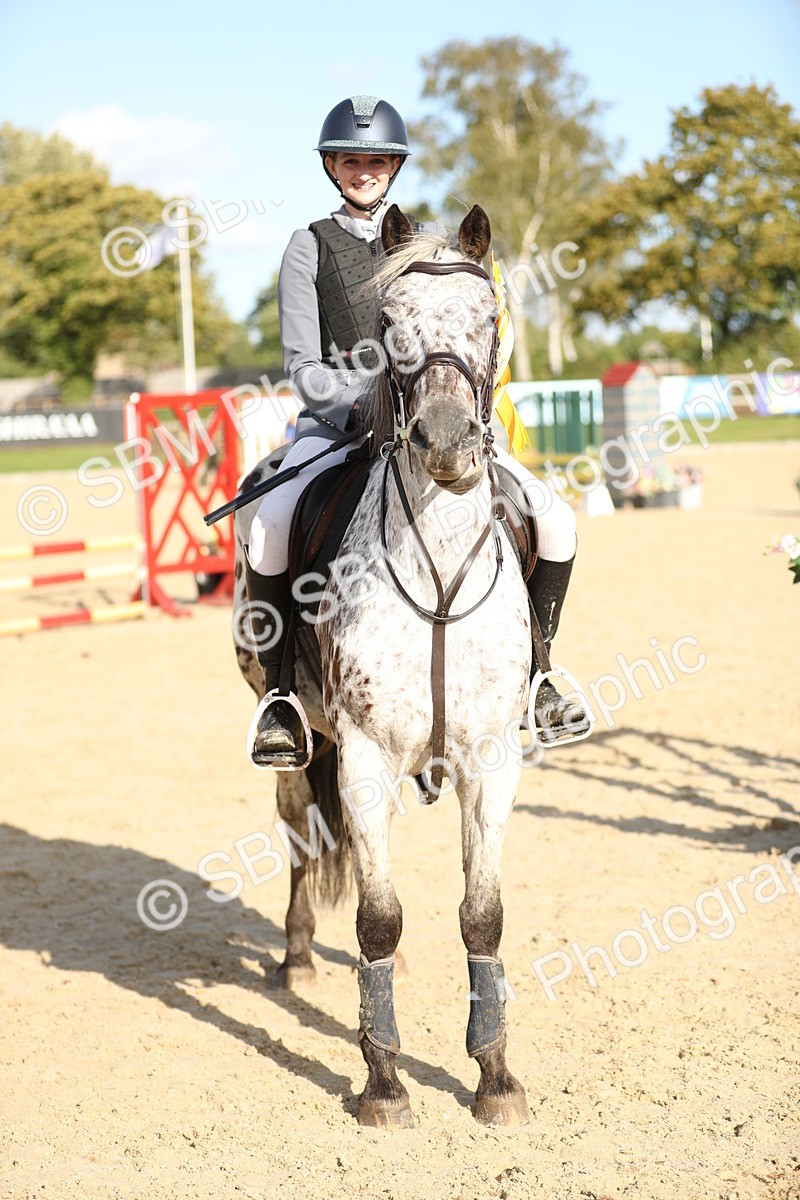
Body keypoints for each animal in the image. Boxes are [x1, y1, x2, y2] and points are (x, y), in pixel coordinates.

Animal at [232, 203, 533, 1128]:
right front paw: (382, 1083)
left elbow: (483, 916)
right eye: (390, 324)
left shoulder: (490, 759)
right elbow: (377, 918)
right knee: (298, 825)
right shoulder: (362, 753)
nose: (445, 442)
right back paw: (296, 958)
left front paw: (494, 1078)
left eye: (488, 318)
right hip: (305, 734)